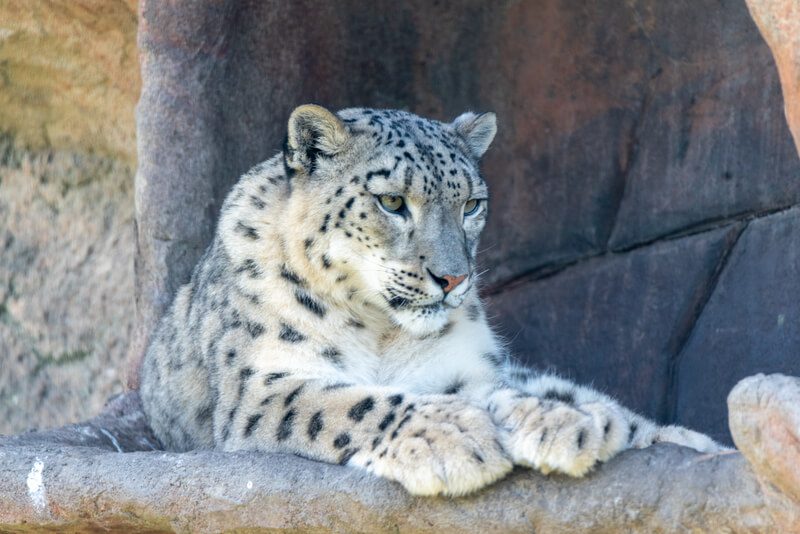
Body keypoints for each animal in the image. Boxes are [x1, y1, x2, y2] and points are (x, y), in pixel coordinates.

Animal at [139, 104, 726, 496]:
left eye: (472, 204)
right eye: (392, 201)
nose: (453, 277)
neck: (378, 330)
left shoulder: (464, 369)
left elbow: (498, 392)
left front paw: (564, 422)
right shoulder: (263, 384)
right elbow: (351, 401)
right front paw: (451, 437)